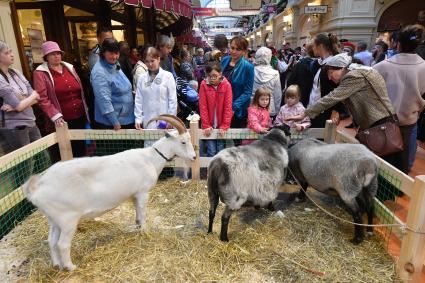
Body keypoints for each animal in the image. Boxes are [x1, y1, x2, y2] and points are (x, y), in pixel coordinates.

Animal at [22, 116, 195, 272]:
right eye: (183, 142)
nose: (193, 157)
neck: (150, 158)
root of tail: (38, 188)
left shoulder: (134, 194)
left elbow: (137, 211)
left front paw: (137, 225)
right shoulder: (143, 192)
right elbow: (143, 212)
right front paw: (145, 231)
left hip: (54, 219)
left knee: (51, 241)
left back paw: (57, 265)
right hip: (67, 219)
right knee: (62, 244)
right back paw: (70, 267)